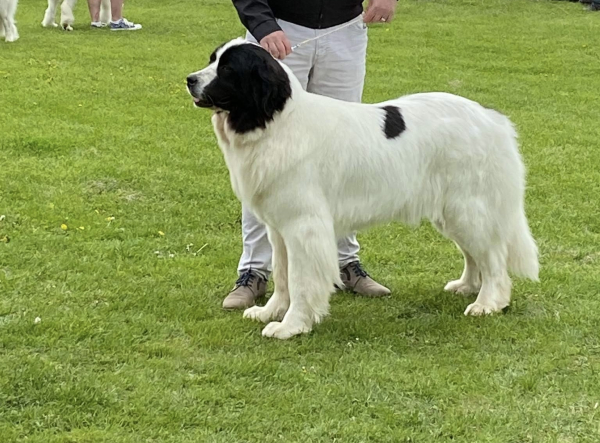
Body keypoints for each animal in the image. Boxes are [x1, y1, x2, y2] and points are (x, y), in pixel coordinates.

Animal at [188, 40, 540, 342]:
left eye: (228, 70)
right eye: (212, 60)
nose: (189, 79)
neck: (275, 122)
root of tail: (492, 119)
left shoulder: (304, 227)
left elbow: (301, 280)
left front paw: (291, 326)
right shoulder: (280, 229)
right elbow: (283, 276)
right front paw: (269, 312)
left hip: (468, 207)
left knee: (493, 257)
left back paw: (488, 302)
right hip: (452, 212)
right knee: (473, 254)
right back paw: (467, 286)